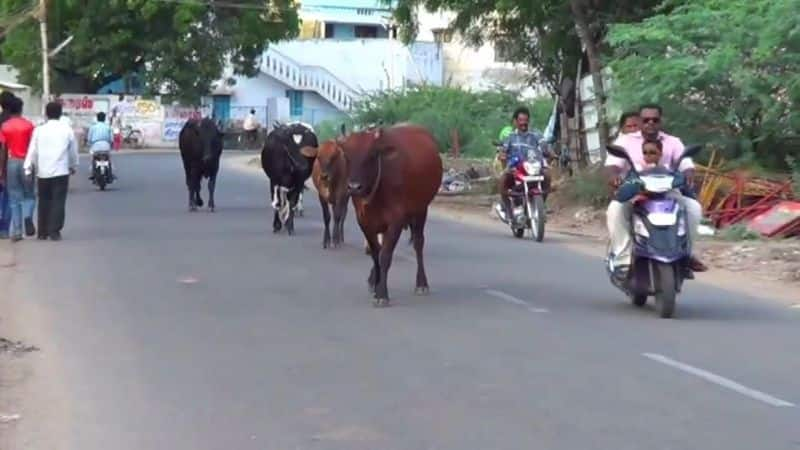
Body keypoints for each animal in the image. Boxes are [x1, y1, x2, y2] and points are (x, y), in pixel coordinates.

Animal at [340, 124, 444, 306]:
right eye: (346, 155)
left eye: (371, 155)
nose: (354, 187)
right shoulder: (364, 221)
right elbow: (376, 254)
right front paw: (376, 285)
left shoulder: (396, 221)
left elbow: (385, 256)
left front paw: (382, 294)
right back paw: (373, 280)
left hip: (421, 209)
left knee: (418, 243)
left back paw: (421, 283)